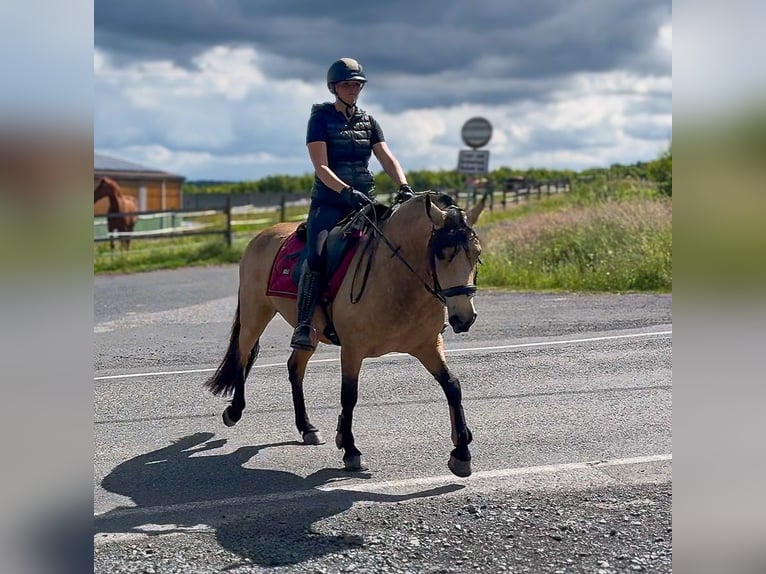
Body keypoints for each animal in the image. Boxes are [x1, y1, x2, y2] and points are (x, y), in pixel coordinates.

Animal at [205, 192, 484, 477]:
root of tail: (261, 236)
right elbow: (349, 395)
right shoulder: (352, 349)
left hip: (308, 333)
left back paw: (307, 428)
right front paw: (350, 450)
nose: (464, 318)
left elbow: (452, 386)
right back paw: (234, 411)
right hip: (256, 314)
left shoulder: (427, 346)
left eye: (477, 254)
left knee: (294, 368)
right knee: (242, 355)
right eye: (442, 254)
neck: (394, 278)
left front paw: (461, 452)